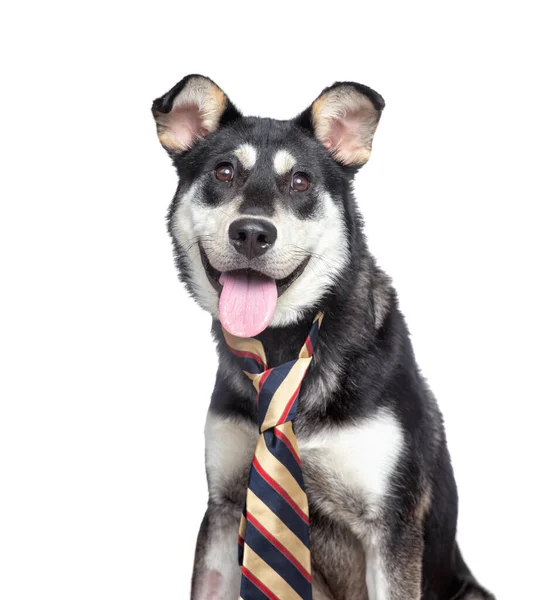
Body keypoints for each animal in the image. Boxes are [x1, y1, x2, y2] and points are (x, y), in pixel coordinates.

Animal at [151, 75, 494, 600]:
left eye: (300, 181)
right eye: (224, 172)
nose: (252, 233)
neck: (285, 347)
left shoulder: (390, 527)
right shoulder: (223, 509)